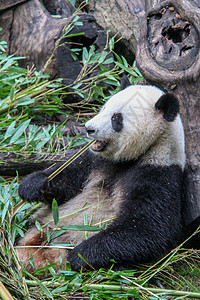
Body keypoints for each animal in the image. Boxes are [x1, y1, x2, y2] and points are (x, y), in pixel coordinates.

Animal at [17, 82, 186, 272]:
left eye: (116, 118)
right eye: (104, 108)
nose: (89, 128)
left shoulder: (158, 173)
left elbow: (149, 228)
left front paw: (80, 255)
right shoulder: (95, 161)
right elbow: (68, 177)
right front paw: (32, 185)